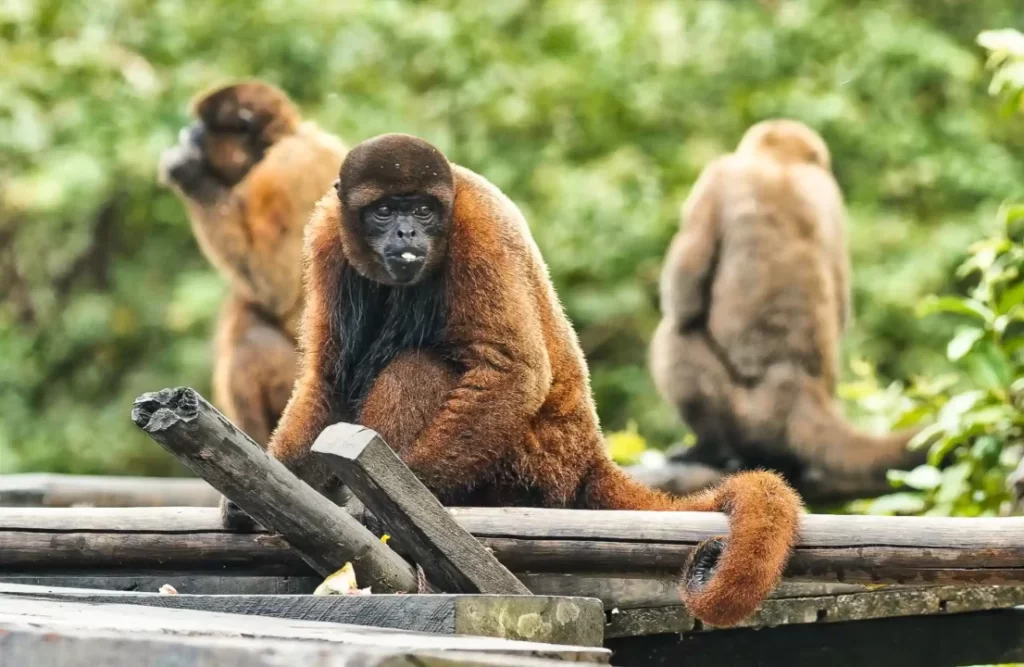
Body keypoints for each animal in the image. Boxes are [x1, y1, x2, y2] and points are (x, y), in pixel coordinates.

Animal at [159, 81, 348, 448]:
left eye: (202, 129)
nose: (189, 132)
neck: (283, 140)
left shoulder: (282, 173)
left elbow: (275, 290)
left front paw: (190, 172)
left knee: (250, 336)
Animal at [226, 133, 806, 627]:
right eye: (385, 210)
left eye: (422, 210)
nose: (407, 232)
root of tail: (588, 453)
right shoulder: (327, 236)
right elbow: (327, 376)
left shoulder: (475, 228)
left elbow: (514, 371)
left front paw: (382, 507)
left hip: (530, 468)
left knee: (419, 367)